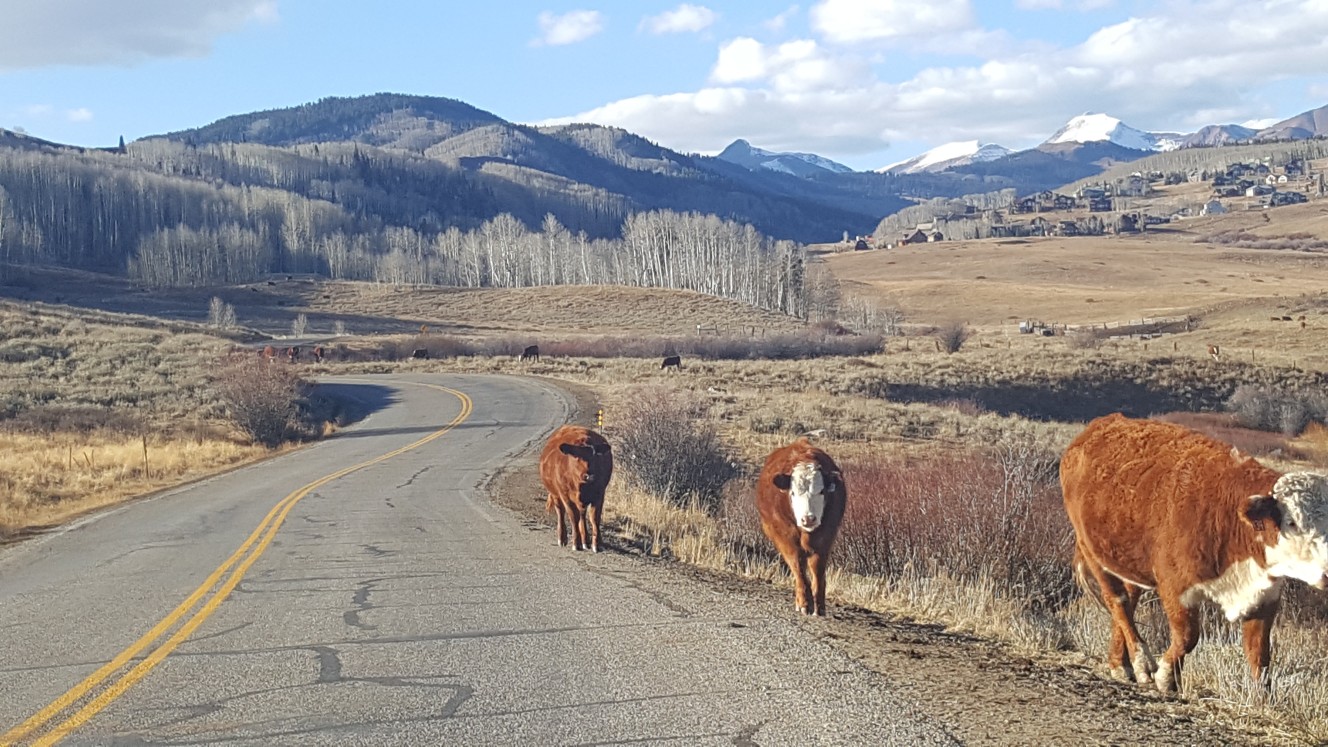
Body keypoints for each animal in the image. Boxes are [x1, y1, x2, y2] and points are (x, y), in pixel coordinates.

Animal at [539, 422, 610, 550]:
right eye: (576, 456)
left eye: (595, 456)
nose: (589, 476)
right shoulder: (565, 496)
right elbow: (573, 517)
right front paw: (576, 543)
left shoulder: (600, 494)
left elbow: (594, 518)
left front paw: (596, 544)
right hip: (555, 494)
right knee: (561, 512)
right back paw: (562, 538)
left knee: (582, 514)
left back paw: (586, 540)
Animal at [754, 433, 844, 614]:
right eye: (793, 492)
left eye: (821, 491)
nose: (808, 518)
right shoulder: (784, 536)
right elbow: (797, 566)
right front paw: (804, 602)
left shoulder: (826, 536)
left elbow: (817, 568)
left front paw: (819, 606)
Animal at [1062, 409, 1328, 691]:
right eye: (1292, 522)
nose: (1327, 573)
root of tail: (1104, 423)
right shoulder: (1175, 586)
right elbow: (1187, 636)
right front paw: (1167, 677)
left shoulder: (1264, 596)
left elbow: (1259, 656)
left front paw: (1262, 697)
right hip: (1092, 551)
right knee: (1118, 602)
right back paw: (1139, 663)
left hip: (1128, 559)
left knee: (1128, 601)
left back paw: (1119, 662)